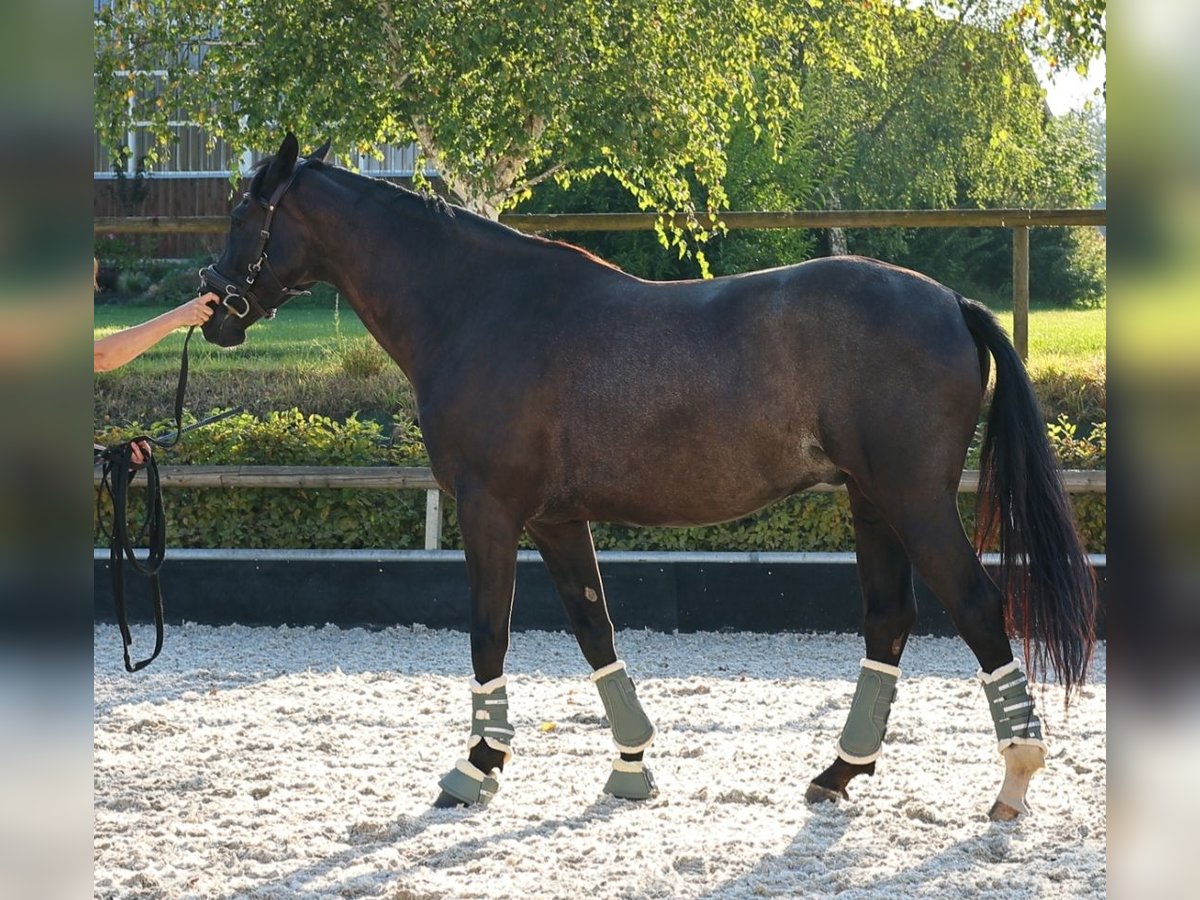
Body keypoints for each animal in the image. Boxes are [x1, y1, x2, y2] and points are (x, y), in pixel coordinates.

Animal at [201, 135, 1094, 825]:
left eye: (244, 214)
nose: (211, 305)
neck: (481, 308)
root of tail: (953, 303)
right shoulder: (557, 520)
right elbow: (594, 628)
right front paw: (630, 766)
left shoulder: (490, 511)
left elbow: (488, 632)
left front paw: (477, 767)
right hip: (872, 502)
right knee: (889, 620)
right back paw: (839, 772)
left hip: (913, 502)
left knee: (977, 606)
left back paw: (1014, 780)